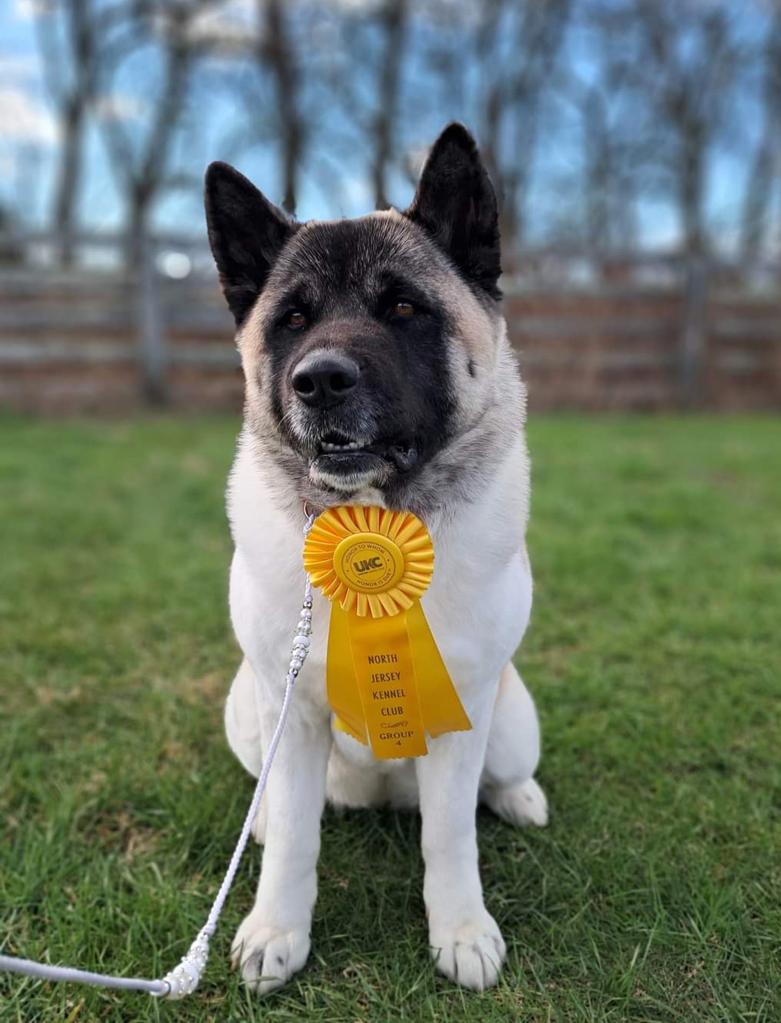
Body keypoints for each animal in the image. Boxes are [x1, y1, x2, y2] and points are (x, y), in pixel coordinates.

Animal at [205, 123, 548, 994]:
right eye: (292, 319)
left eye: (401, 307)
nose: (319, 380)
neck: (374, 521)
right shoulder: (291, 718)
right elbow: (297, 839)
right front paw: (276, 932)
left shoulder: (462, 713)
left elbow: (450, 835)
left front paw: (460, 929)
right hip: (246, 711)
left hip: (509, 718)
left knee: (497, 780)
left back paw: (519, 797)